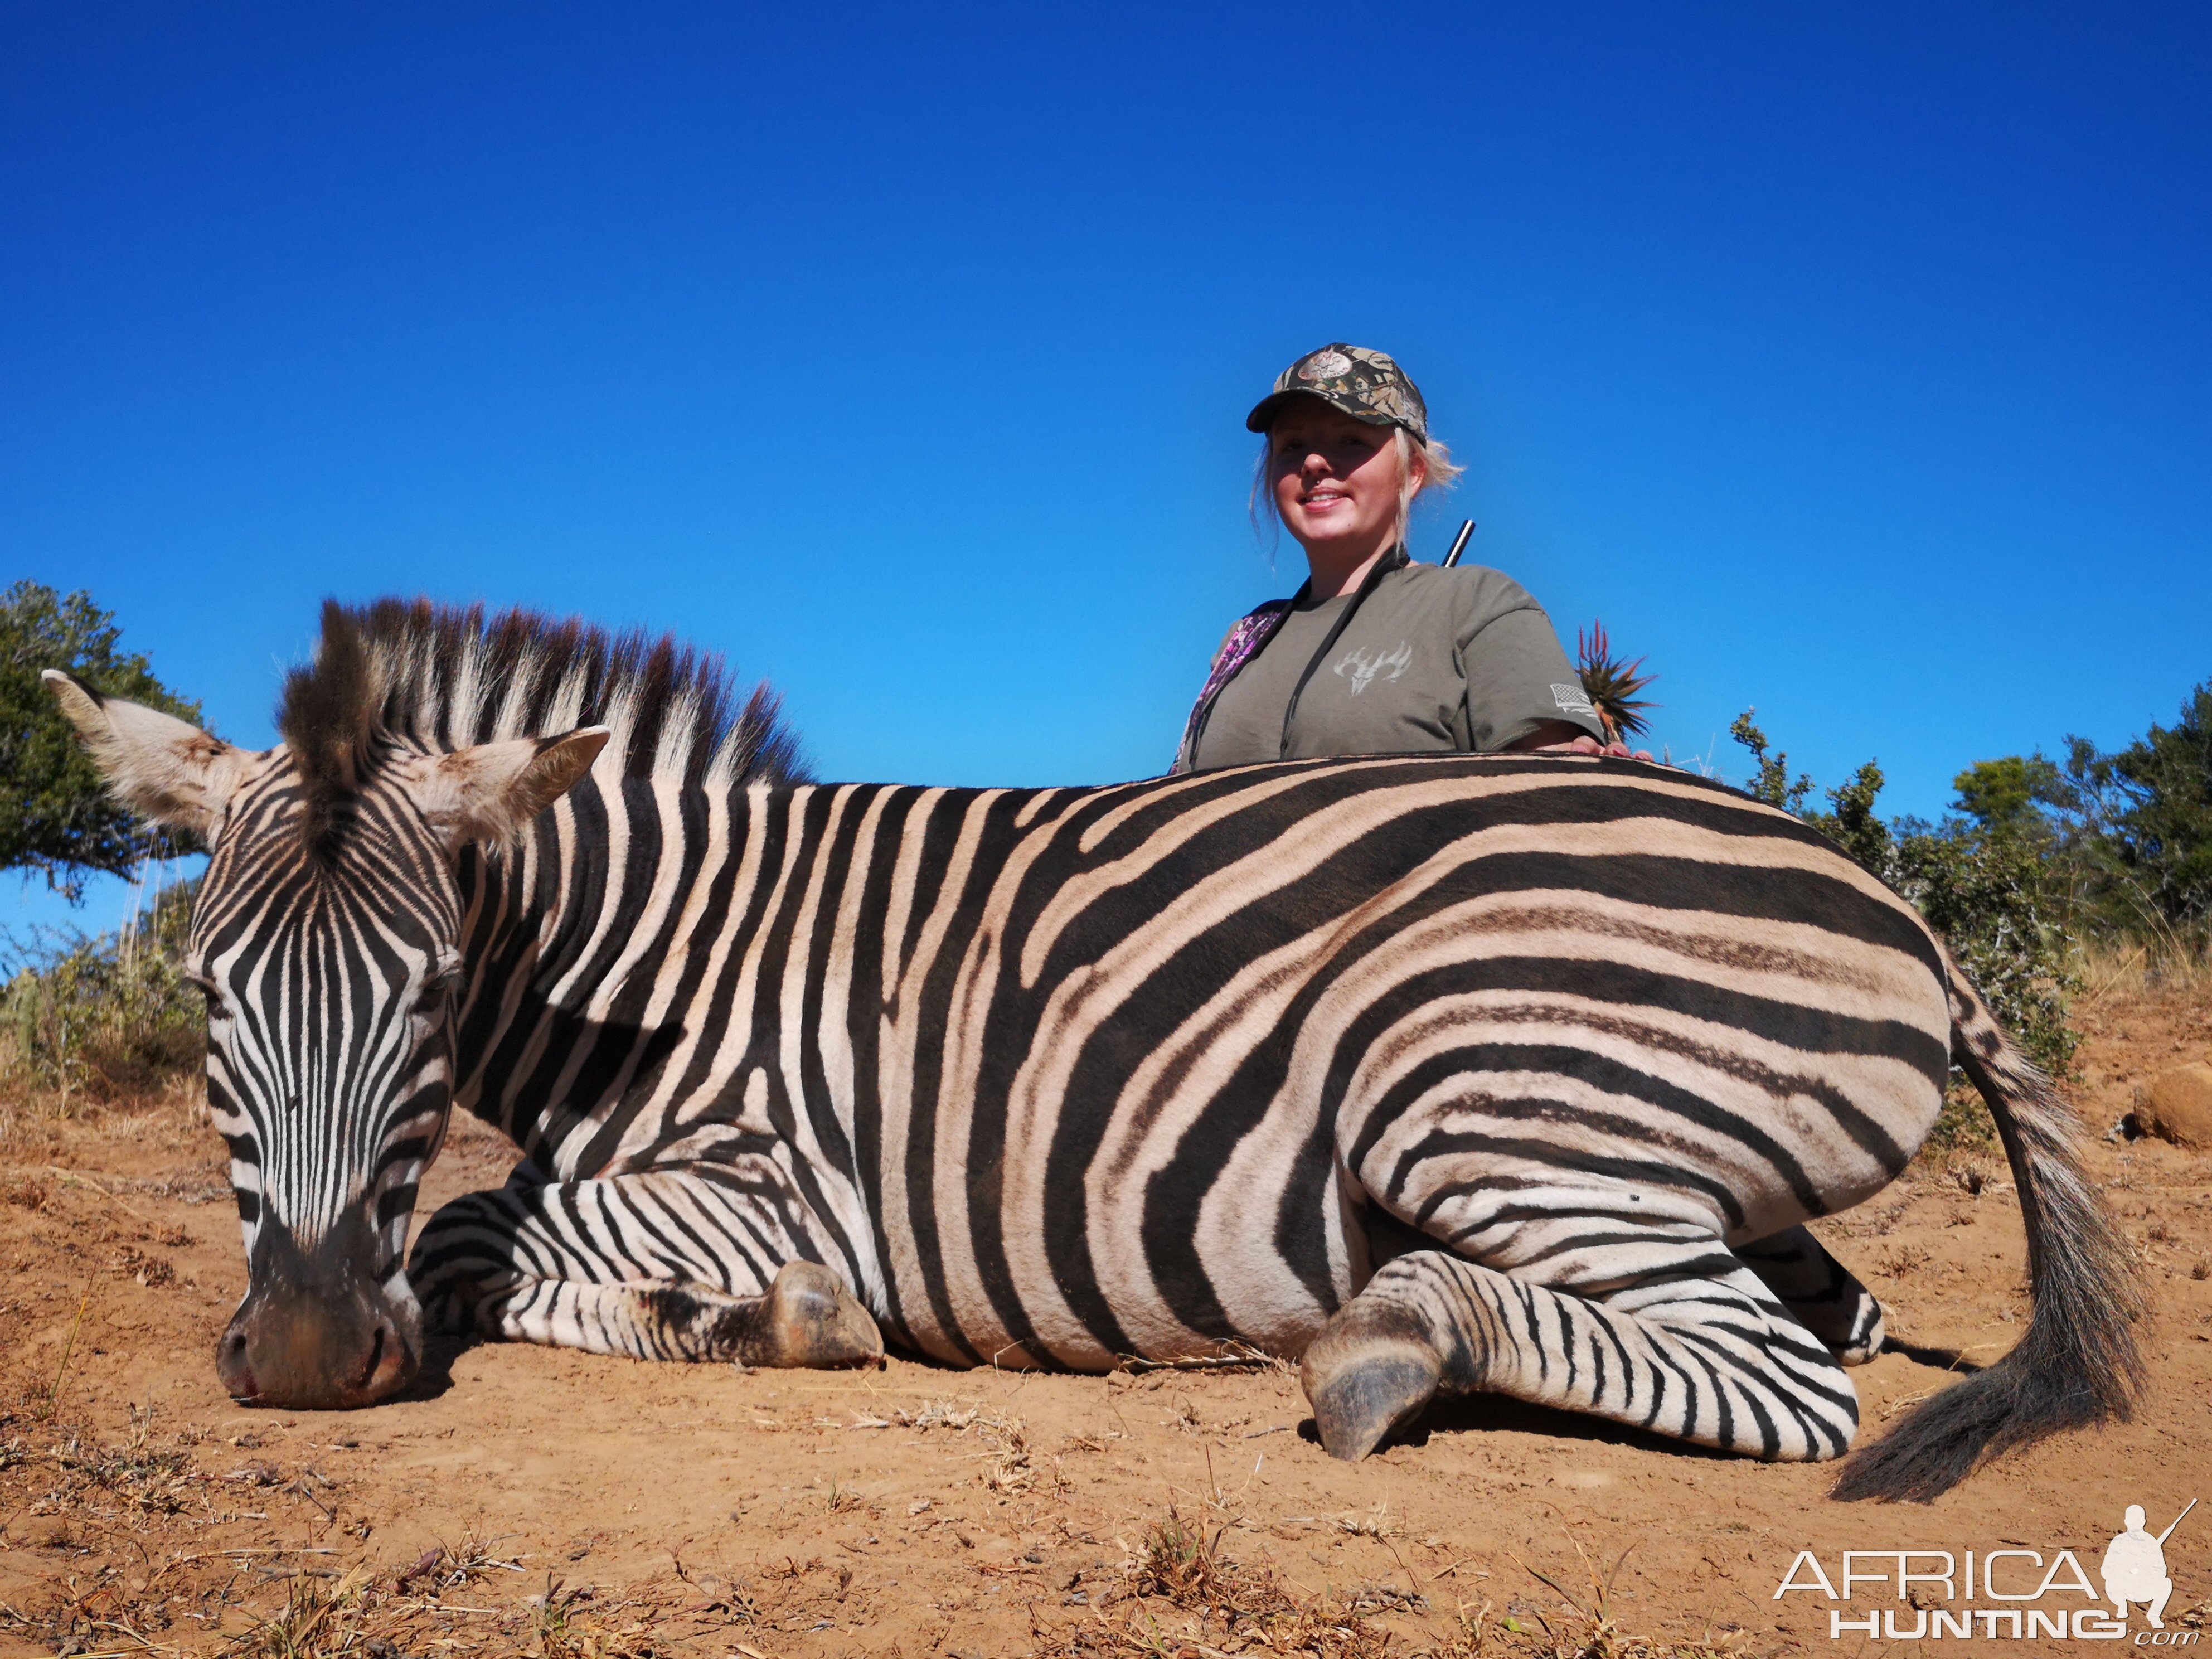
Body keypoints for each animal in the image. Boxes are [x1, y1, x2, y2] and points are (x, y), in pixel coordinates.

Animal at [52, 601, 2141, 1504]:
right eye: (209, 991)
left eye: (422, 992)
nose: (304, 1354)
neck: (659, 949)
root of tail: (1902, 913)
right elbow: (478, 1229)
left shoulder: (768, 1178)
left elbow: (479, 1231)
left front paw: (771, 1321)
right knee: (1824, 1311)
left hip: (1466, 1073)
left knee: (1780, 1378)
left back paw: (1392, 1337)